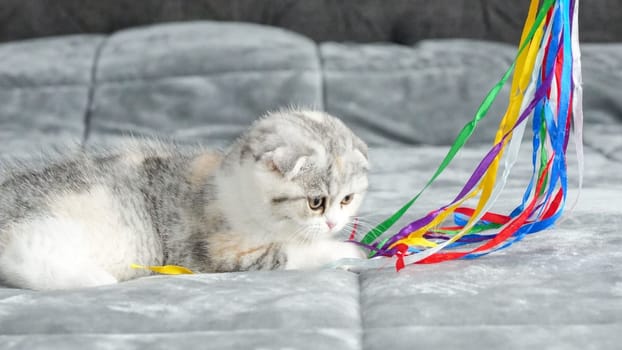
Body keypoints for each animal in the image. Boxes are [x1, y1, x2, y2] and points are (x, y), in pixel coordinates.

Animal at [0, 109, 370, 290]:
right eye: (316, 202)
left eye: (347, 199)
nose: (333, 222)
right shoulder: (215, 252)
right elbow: (290, 253)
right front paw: (351, 251)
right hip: (59, 224)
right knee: (21, 254)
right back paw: (94, 279)